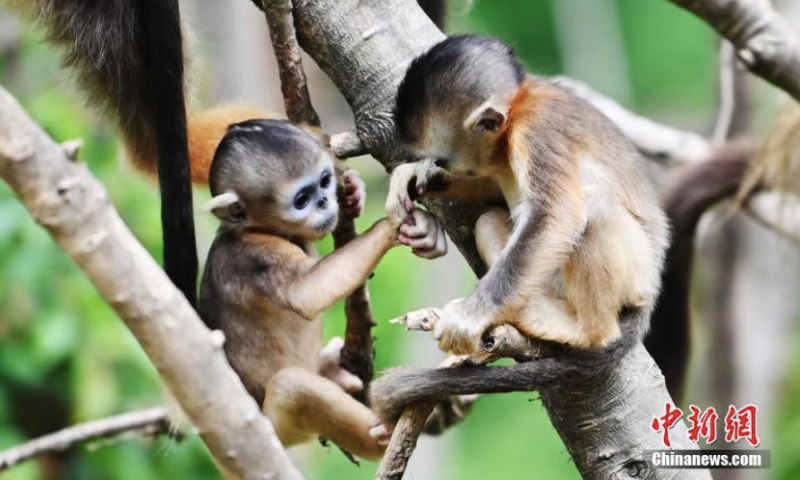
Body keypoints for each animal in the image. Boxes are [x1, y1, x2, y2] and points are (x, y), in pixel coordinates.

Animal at [370, 35, 668, 422]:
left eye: (445, 158)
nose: (437, 166)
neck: (516, 116)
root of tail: (652, 284)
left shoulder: (538, 130)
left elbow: (556, 214)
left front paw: (470, 318)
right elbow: (490, 191)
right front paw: (413, 178)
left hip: (634, 268)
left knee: (596, 207)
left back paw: (585, 330)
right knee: (488, 220)